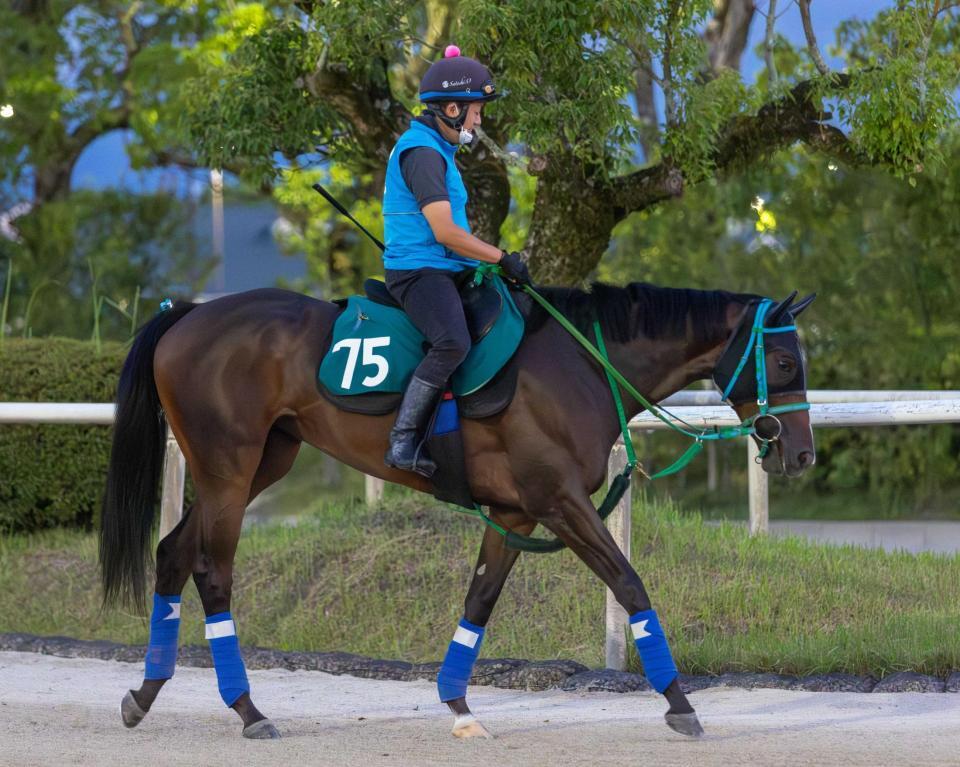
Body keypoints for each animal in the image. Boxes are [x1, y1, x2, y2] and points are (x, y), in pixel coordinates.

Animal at [97, 282, 816, 744]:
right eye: (784, 360)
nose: (801, 453)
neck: (579, 363)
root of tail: (187, 315)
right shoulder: (561, 502)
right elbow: (630, 583)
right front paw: (680, 702)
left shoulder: (516, 513)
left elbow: (480, 601)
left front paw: (459, 704)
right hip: (229, 468)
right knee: (212, 572)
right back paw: (247, 709)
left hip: (259, 464)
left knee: (172, 553)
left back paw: (143, 694)